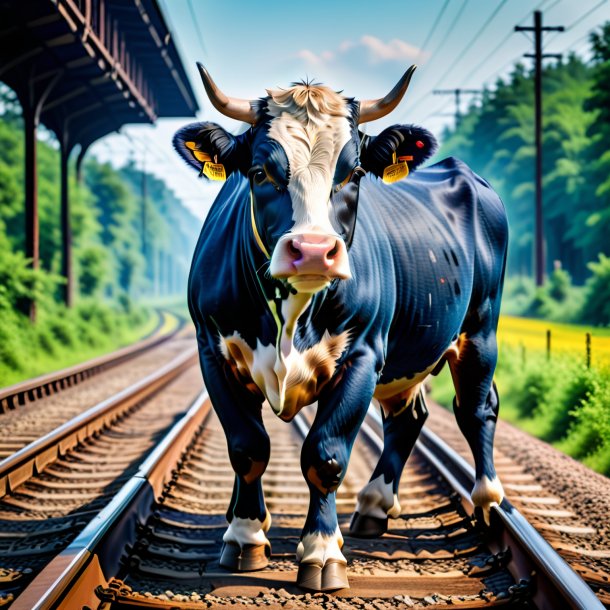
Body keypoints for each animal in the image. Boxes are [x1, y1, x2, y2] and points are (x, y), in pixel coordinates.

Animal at [173, 64, 506, 592]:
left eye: (352, 173)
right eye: (260, 172)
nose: (312, 250)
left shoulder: (363, 355)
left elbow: (325, 455)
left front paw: (322, 552)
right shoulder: (213, 351)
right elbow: (247, 447)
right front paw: (245, 535)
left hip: (480, 329)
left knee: (476, 408)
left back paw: (489, 501)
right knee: (409, 416)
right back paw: (372, 506)